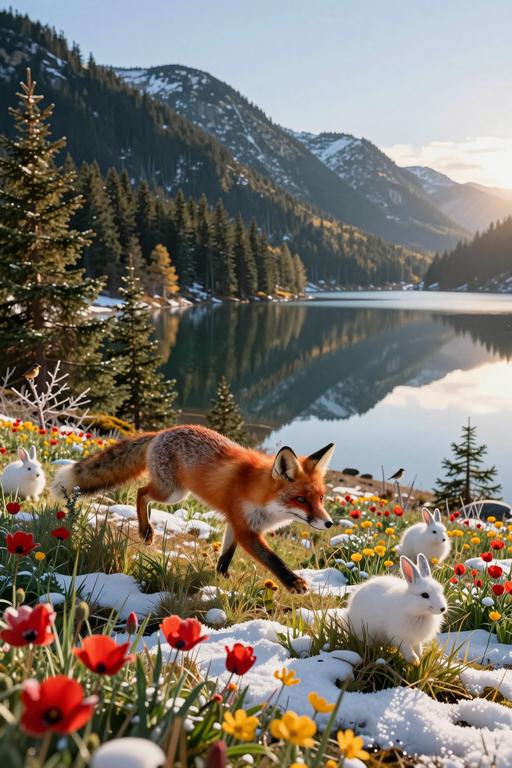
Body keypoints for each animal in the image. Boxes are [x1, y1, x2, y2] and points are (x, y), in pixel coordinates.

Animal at [50, 425, 335, 594]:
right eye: (301, 499)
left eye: (321, 498)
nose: (329, 523)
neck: (264, 500)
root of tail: (162, 432)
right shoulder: (245, 529)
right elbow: (272, 558)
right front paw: (293, 581)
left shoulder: (235, 524)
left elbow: (225, 557)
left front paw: (222, 578)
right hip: (173, 493)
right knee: (141, 492)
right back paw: (146, 531)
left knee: (142, 493)